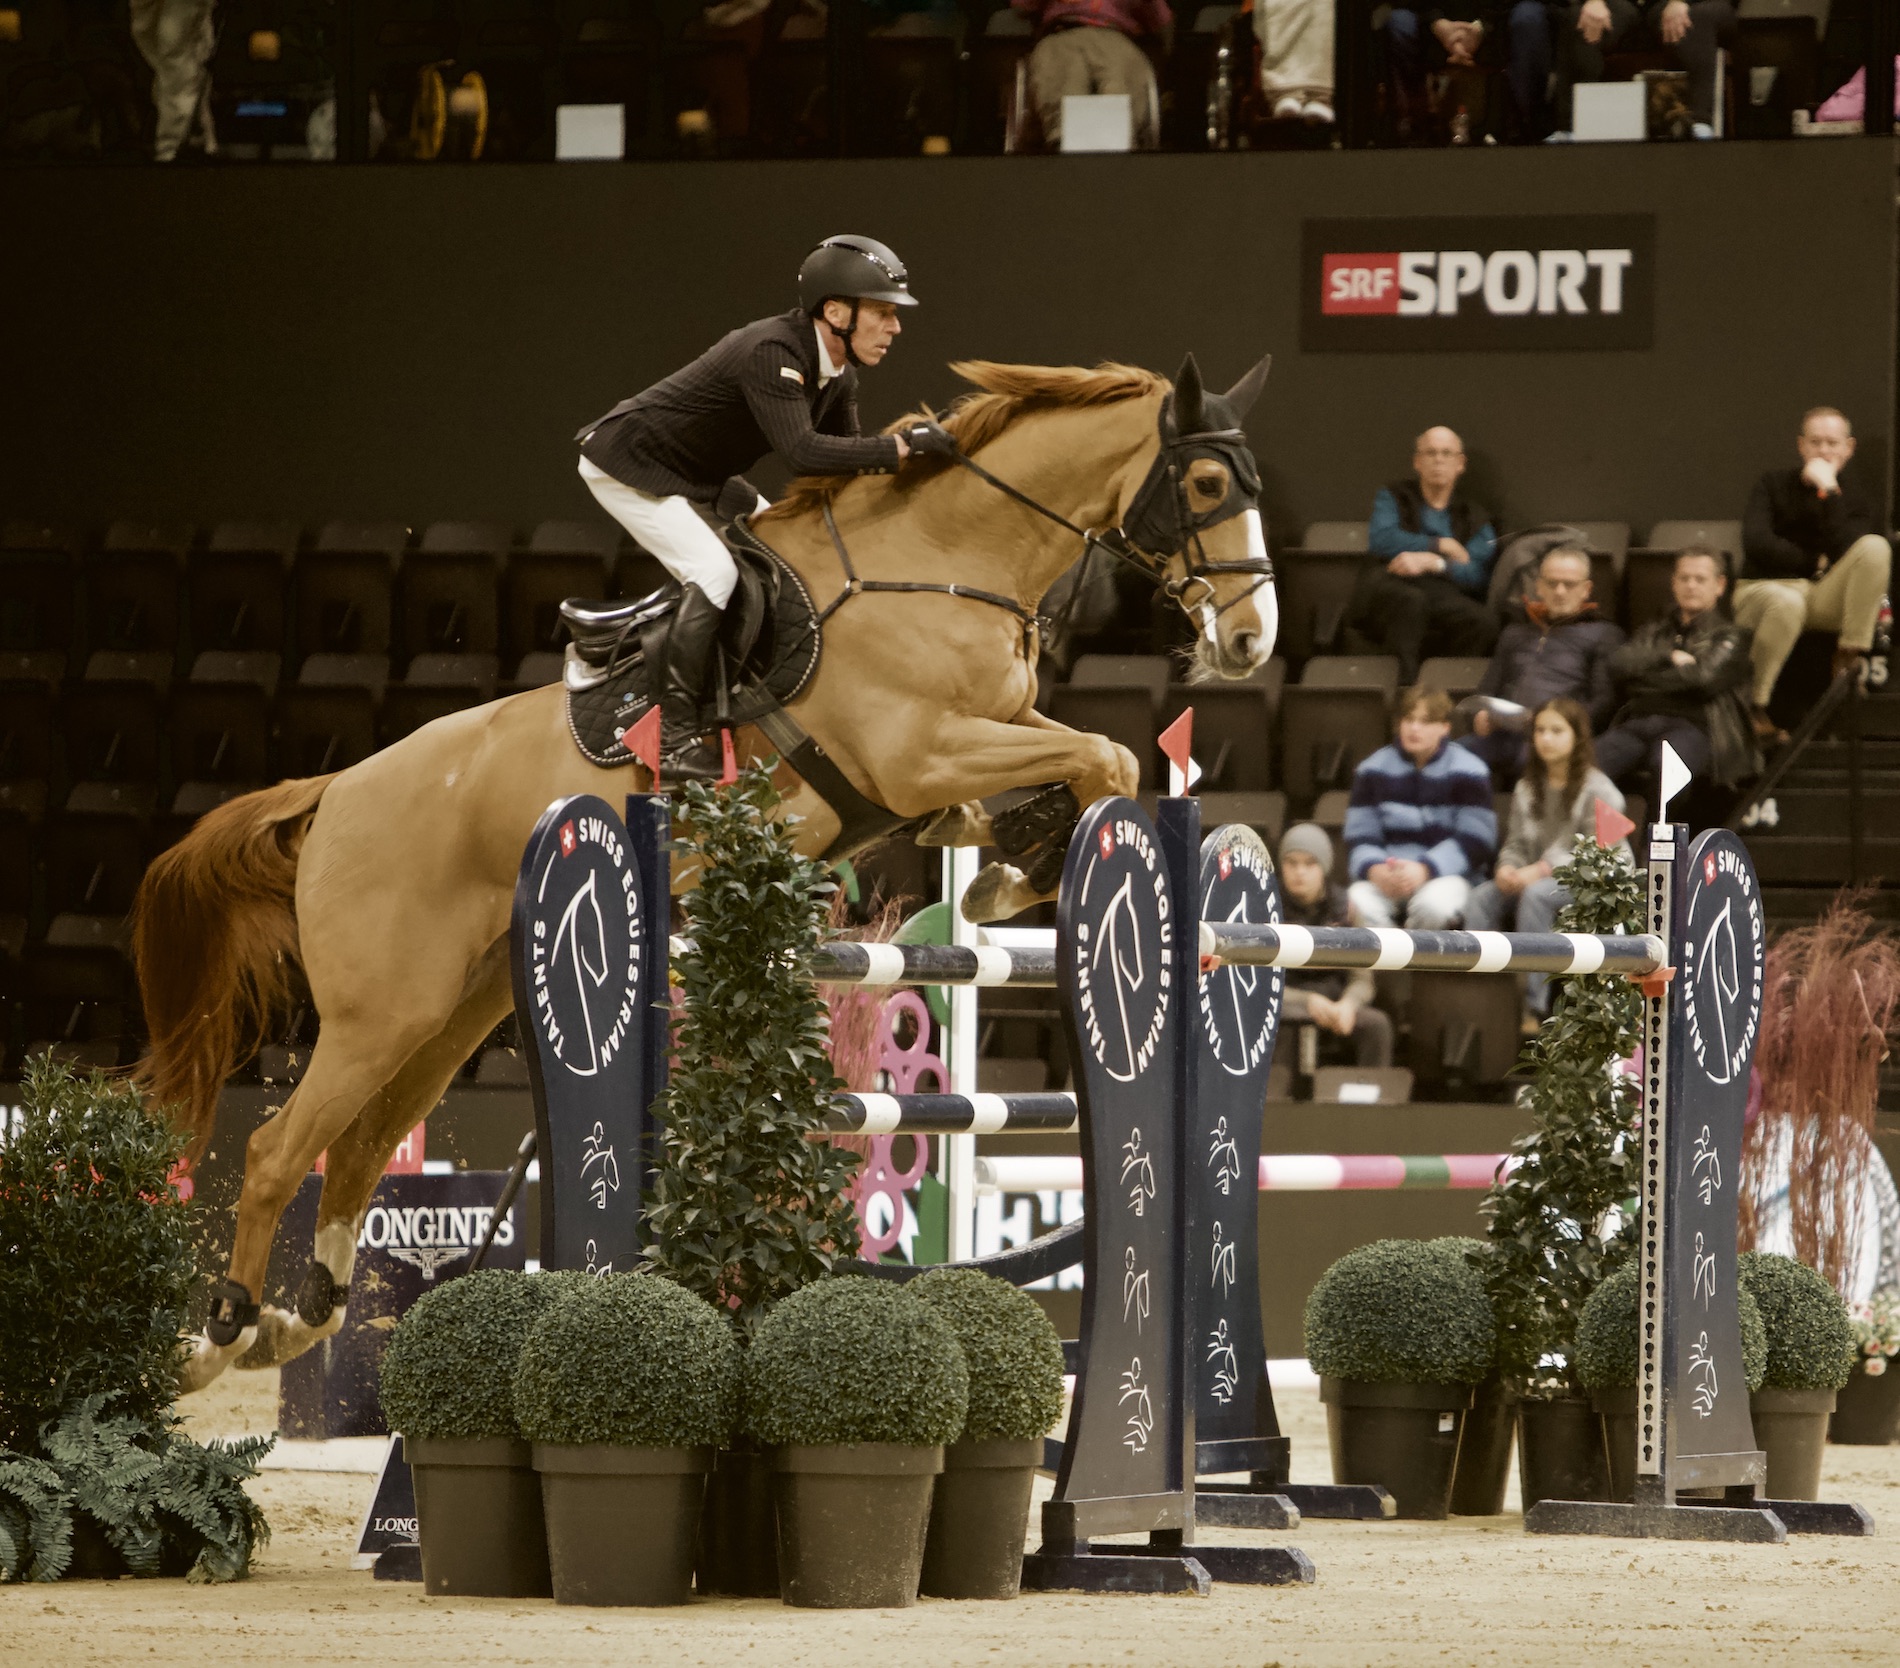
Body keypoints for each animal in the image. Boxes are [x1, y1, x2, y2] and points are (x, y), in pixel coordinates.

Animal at [135, 351, 1279, 1393]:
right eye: (1206, 487)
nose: (1251, 642)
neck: (945, 556)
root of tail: (336, 789)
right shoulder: (921, 752)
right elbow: (1104, 755)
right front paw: (1014, 871)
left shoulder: (977, 737)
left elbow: (1096, 757)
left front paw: (1010, 870)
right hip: (385, 1007)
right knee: (279, 1148)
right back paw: (222, 1336)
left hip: (455, 1007)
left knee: (364, 1145)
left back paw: (301, 1320)